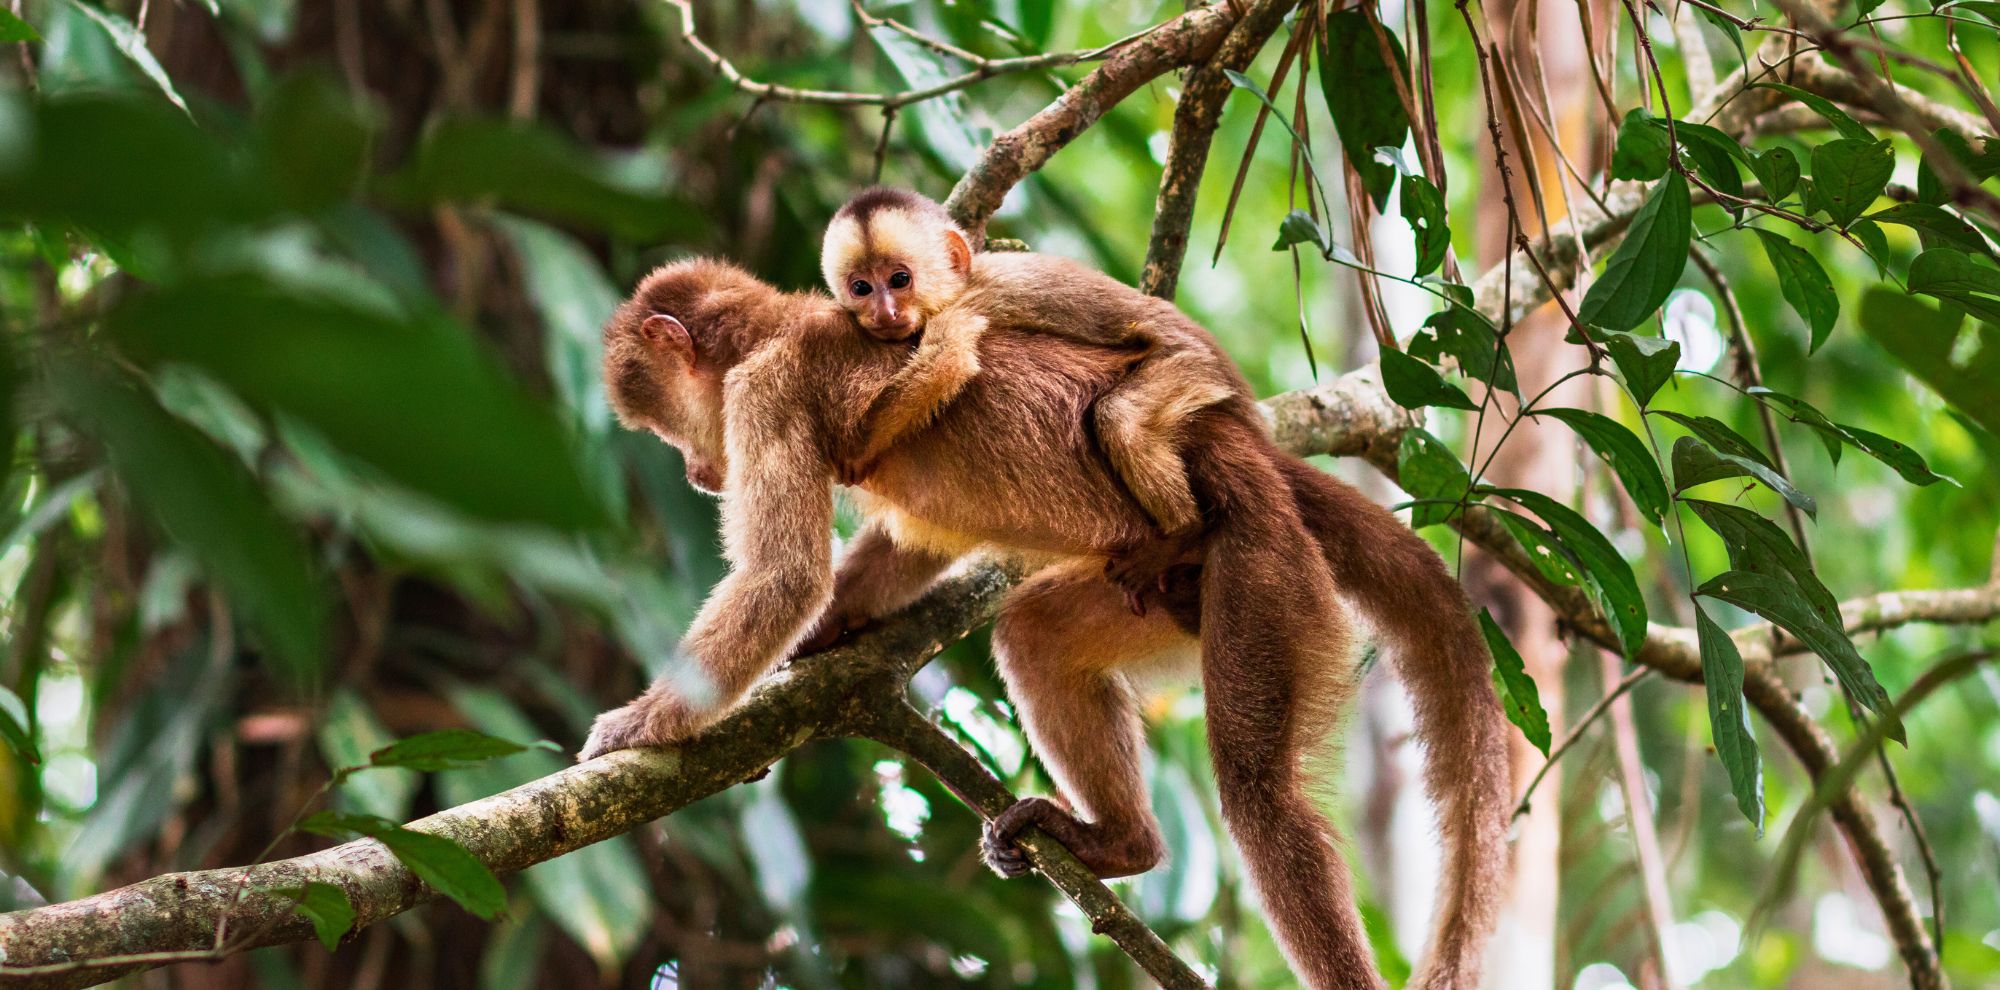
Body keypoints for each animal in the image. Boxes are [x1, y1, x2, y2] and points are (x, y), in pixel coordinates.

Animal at [583, 257, 1509, 990]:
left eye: (664, 427)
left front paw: (645, 722)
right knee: (1033, 635)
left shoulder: (764, 394)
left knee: (1261, 798)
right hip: (1169, 589)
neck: (781, 326)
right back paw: (1124, 846)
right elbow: (901, 550)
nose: (696, 472)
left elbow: (784, 578)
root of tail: (1248, 453)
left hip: (1264, 565)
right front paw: (816, 643)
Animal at [821, 188, 1232, 591]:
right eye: (861, 287)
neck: (961, 284)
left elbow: (948, 363)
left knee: (1120, 418)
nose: (885, 313)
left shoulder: (973, 304)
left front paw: (854, 450)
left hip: (1191, 370)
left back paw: (1184, 533)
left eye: (899, 280)